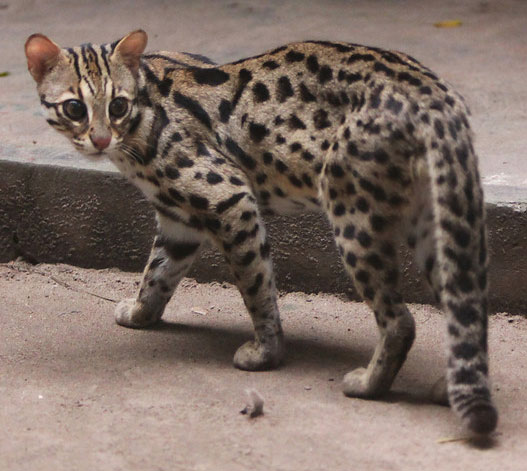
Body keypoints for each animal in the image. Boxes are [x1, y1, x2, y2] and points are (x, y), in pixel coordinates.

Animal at [25, 28, 500, 436]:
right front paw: (141, 313)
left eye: (118, 106)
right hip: (436, 220)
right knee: (467, 308)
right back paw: (447, 386)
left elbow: (257, 288)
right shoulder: (179, 221)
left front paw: (266, 353)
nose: (101, 140)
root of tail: (436, 97)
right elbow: (157, 273)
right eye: (75, 108)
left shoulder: (229, 196)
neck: (145, 105)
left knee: (401, 321)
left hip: (352, 211)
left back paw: (368, 384)